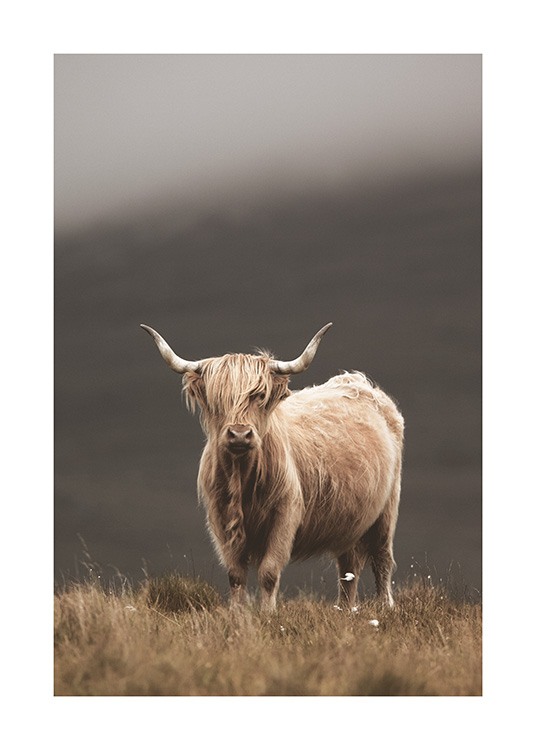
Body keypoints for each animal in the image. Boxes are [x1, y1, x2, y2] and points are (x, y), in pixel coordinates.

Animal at [141, 322, 404, 612]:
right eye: (218, 399)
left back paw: (386, 606)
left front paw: (267, 613)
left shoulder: (285, 515)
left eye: (259, 396)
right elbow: (235, 574)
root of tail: (356, 381)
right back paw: (345, 609)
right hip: (349, 520)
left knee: (382, 559)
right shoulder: (220, 519)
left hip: (387, 510)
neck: (242, 480)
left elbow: (268, 571)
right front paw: (237, 613)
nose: (240, 434)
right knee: (349, 568)